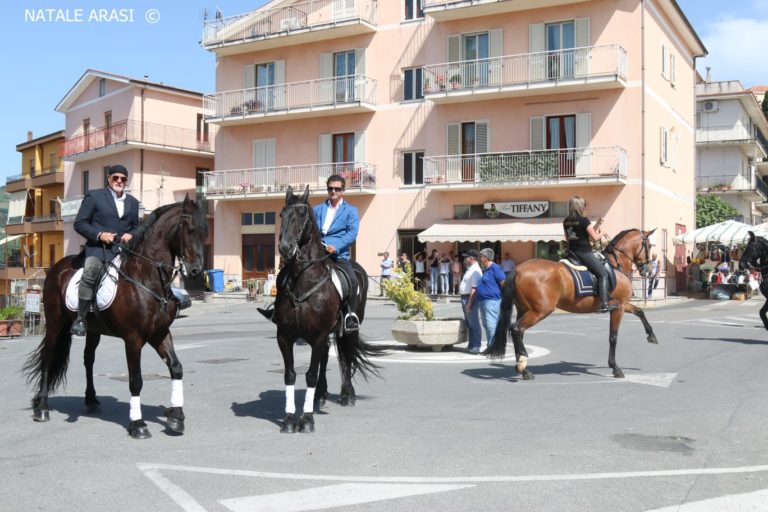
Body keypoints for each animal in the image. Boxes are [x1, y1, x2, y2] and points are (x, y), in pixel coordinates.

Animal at [23, 197, 207, 440]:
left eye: (205, 232)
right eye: (189, 229)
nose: (196, 271)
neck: (146, 277)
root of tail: (56, 268)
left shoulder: (160, 333)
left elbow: (176, 368)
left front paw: (176, 417)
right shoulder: (133, 338)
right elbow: (135, 380)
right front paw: (138, 424)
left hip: (92, 330)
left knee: (88, 360)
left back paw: (91, 400)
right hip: (55, 324)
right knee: (48, 359)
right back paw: (42, 408)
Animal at [272, 186, 382, 434]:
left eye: (302, 214)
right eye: (282, 214)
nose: (285, 248)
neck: (303, 281)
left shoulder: (319, 334)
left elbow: (311, 375)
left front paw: (306, 420)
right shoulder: (285, 336)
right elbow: (290, 375)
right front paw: (290, 418)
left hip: (349, 329)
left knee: (347, 355)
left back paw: (346, 395)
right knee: (324, 357)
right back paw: (320, 396)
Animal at [488, 228, 656, 380]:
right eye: (648, 245)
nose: (647, 269)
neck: (615, 264)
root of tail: (518, 269)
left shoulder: (622, 304)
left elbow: (639, 311)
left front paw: (652, 336)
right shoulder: (618, 308)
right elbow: (613, 337)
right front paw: (615, 368)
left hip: (524, 309)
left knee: (519, 332)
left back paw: (522, 368)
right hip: (539, 311)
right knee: (516, 329)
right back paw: (524, 368)